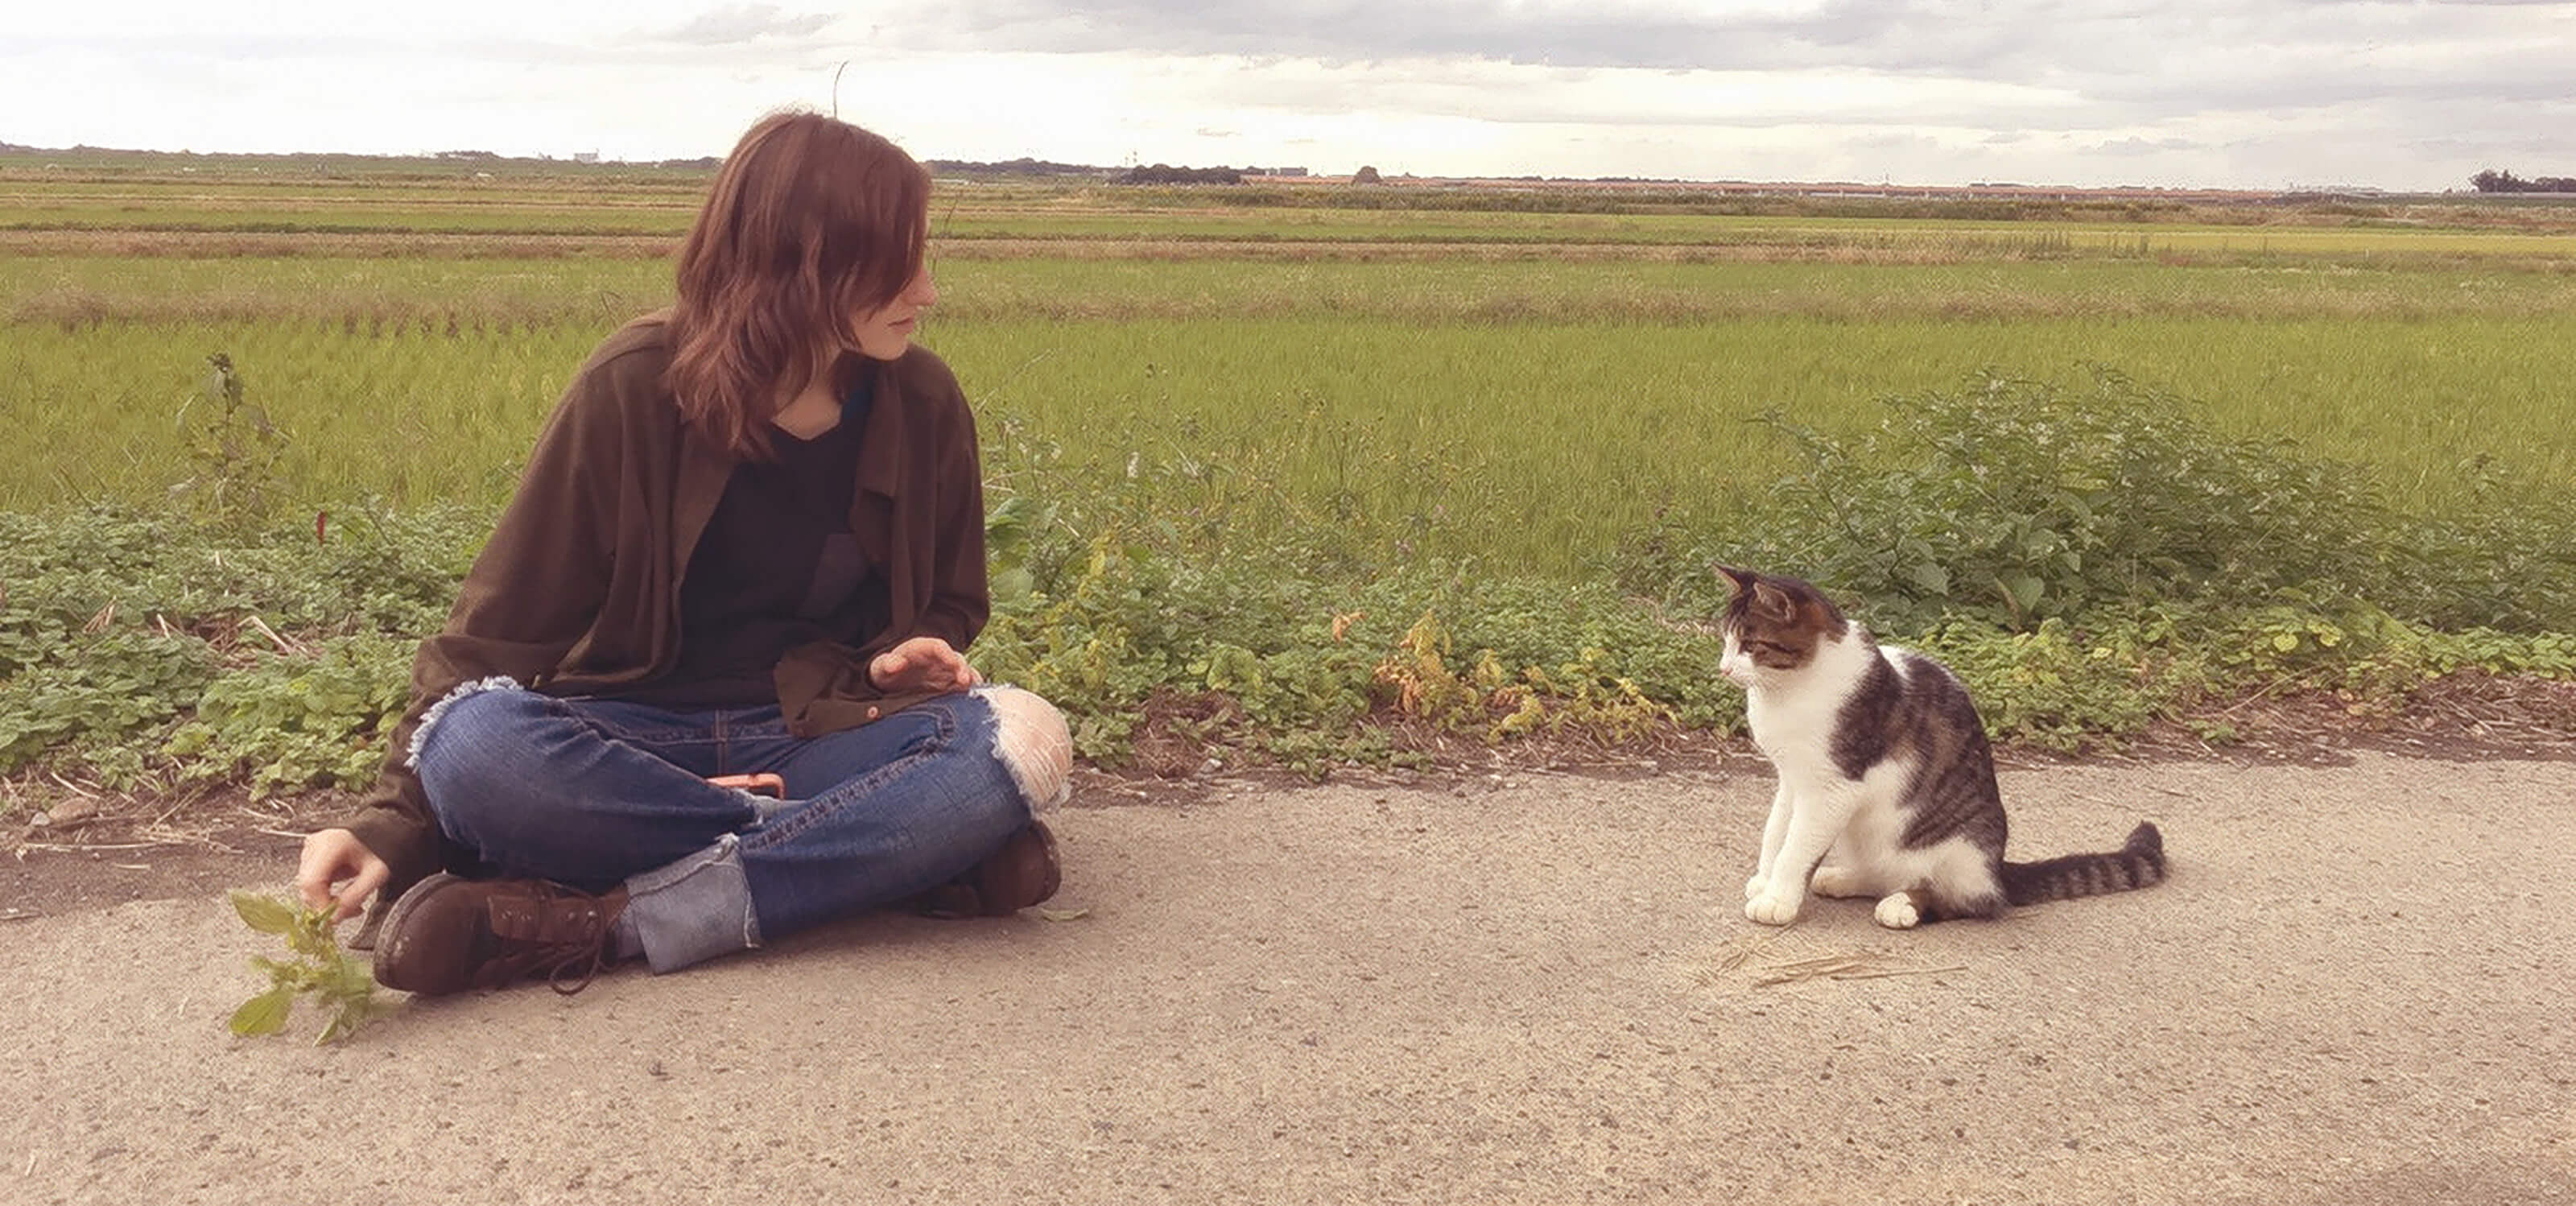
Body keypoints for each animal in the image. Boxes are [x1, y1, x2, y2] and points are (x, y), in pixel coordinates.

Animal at [1720, 567, 2164, 932]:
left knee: (1971, 902)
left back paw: (1904, 905)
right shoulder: (1792, 778)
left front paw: (1778, 899)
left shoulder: (1831, 789)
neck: (1788, 691)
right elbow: (1776, 831)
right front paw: (1766, 881)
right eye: (1725, 639)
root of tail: (1998, 869)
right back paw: (1843, 878)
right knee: (1882, 873)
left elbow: (1796, 847)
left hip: (1961, 853)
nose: (1723, 668)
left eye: (1750, 644)